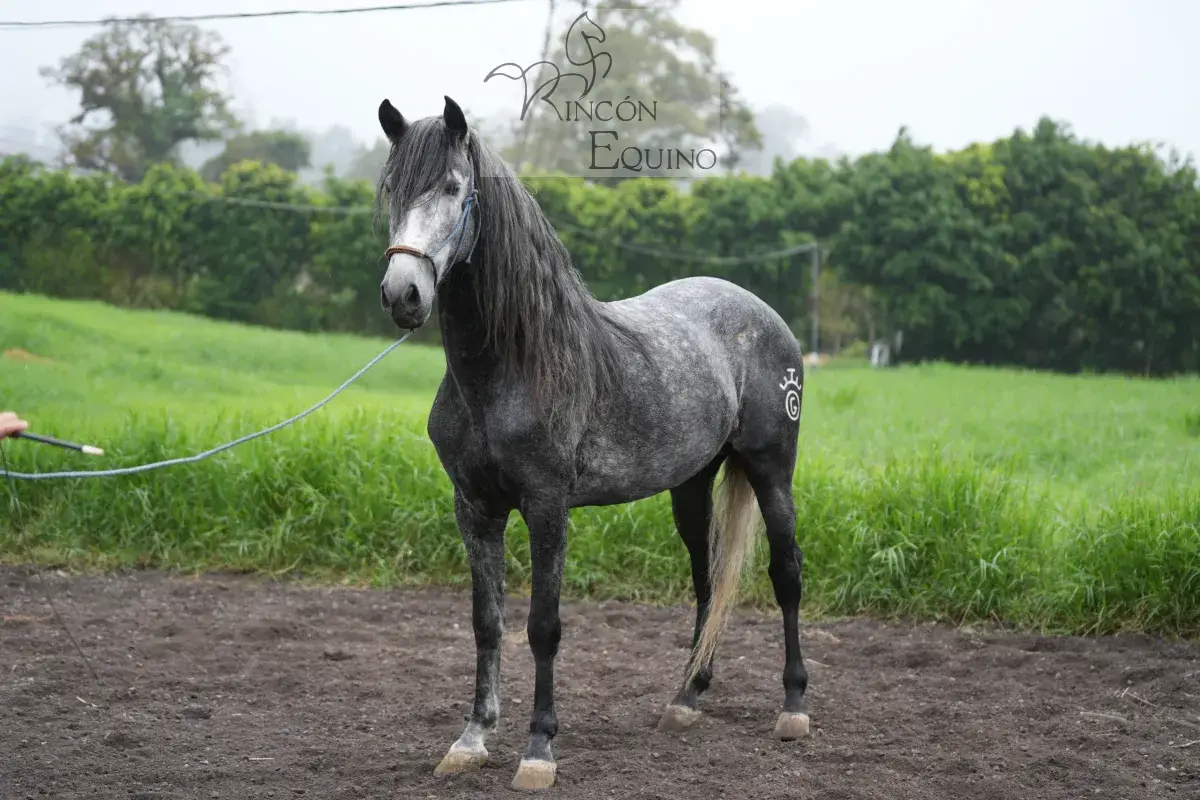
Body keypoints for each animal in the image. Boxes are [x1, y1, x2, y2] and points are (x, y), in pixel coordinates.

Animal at [374, 95, 811, 791]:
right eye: (392, 188)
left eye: (452, 187)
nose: (403, 294)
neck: (513, 365)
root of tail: (766, 316)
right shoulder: (475, 509)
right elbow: (487, 623)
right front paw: (471, 740)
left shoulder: (548, 508)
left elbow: (543, 627)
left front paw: (538, 750)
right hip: (691, 486)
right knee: (706, 580)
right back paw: (686, 700)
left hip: (772, 471)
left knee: (786, 574)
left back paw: (793, 706)